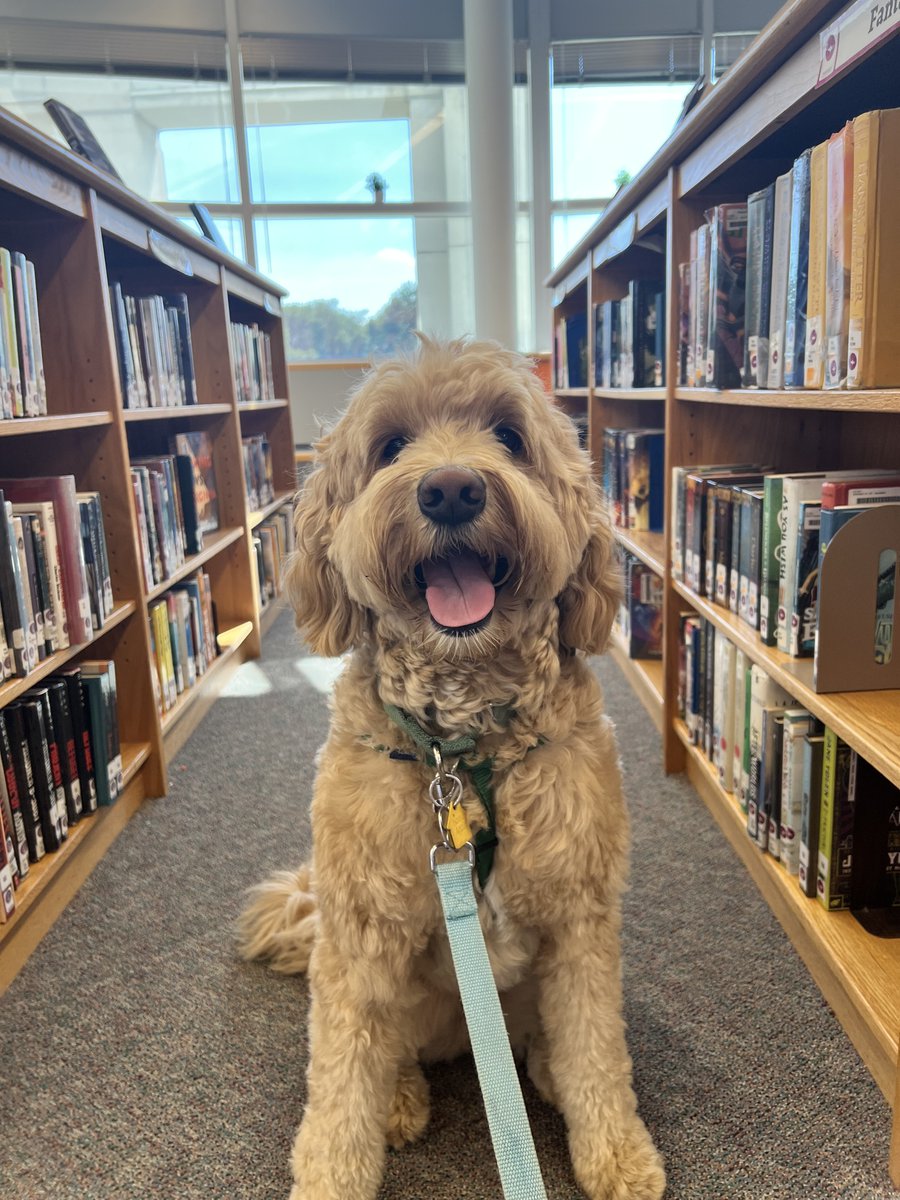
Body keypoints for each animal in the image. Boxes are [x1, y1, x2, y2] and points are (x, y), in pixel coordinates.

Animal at [240, 336, 672, 1200]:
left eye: (508, 436)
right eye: (390, 446)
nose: (449, 490)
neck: (465, 751)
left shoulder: (580, 921)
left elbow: (596, 1047)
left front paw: (617, 1154)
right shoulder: (361, 930)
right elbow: (340, 1083)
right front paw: (332, 1175)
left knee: (550, 1041)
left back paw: (542, 1069)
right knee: (380, 1051)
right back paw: (401, 1100)